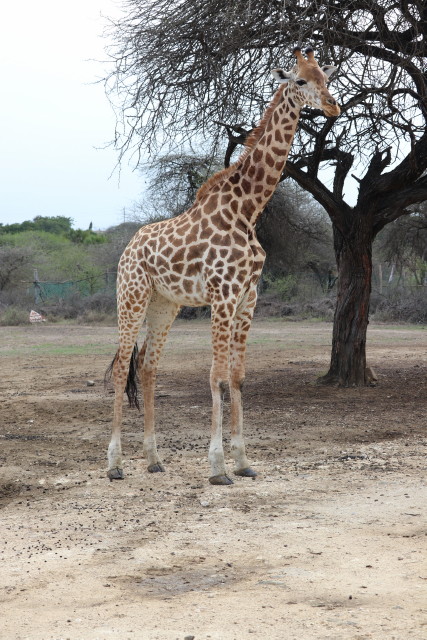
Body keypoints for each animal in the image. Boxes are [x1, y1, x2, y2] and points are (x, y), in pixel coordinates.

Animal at [106, 47, 340, 485]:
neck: (248, 209)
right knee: (119, 367)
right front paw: (217, 468)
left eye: (326, 77)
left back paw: (153, 459)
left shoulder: (248, 298)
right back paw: (114, 465)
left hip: (165, 305)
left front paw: (243, 461)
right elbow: (215, 376)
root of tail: (128, 247)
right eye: (300, 80)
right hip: (131, 297)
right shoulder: (223, 295)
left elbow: (238, 377)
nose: (333, 105)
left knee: (147, 367)